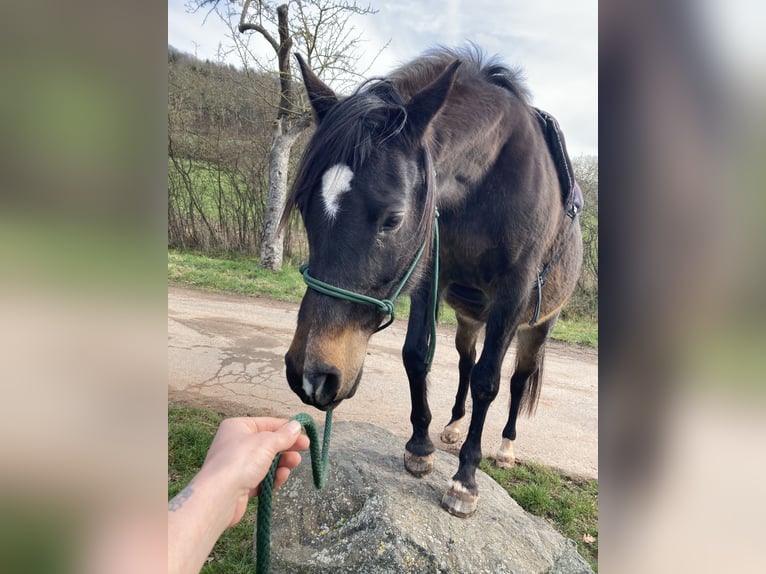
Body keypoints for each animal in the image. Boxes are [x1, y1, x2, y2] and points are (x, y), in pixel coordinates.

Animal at [284, 47, 584, 520]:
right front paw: (420, 446)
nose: (311, 376)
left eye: (393, 218)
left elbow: (489, 382)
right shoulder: (429, 279)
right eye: (303, 208)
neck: (488, 183)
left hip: (536, 328)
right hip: (469, 319)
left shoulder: (512, 295)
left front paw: (465, 479)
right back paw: (454, 424)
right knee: (465, 362)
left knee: (516, 380)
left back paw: (506, 447)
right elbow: (416, 357)